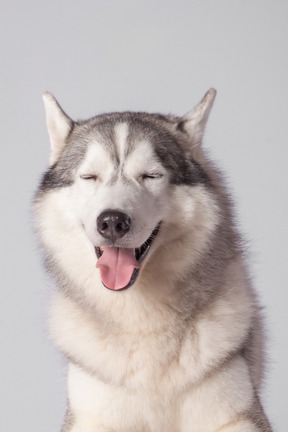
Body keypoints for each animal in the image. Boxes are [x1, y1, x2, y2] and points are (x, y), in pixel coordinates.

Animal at [33, 89, 272, 430]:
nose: (112, 221)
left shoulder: (238, 417)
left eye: (151, 176)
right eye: (89, 176)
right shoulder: (90, 417)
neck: (139, 315)